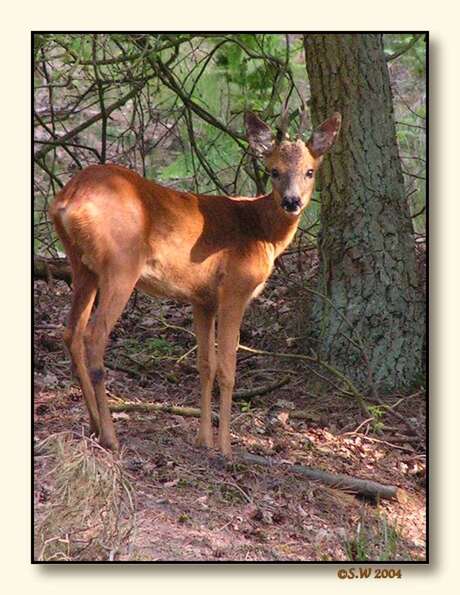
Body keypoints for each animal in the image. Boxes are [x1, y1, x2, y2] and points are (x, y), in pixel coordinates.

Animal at [49, 110, 342, 456]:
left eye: (310, 171)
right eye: (274, 171)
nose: (292, 201)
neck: (262, 233)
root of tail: (68, 200)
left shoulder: (203, 300)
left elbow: (205, 365)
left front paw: (203, 440)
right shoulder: (235, 288)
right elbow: (227, 368)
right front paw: (226, 447)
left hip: (82, 266)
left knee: (71, 332)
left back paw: (94, 426)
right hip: (120, 265)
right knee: (93, 335)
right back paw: (110, 436)